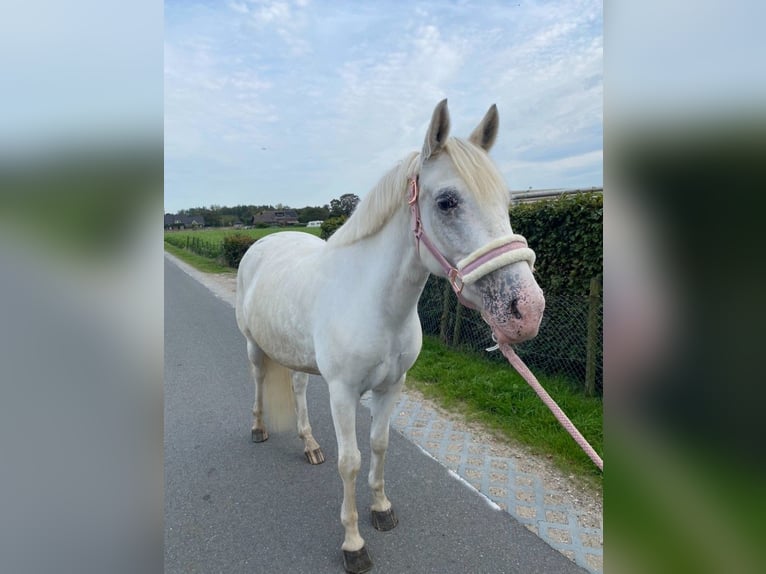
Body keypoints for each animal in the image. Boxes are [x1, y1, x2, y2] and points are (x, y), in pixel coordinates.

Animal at [234, 101, 544, 572]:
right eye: (447, 201)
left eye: (506, 202)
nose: (526, 309)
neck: (375, 304)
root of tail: (262, 243)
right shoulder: (343, 392)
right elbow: (350, 462)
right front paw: (353, 544)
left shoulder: (392, 386)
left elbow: (378, 446)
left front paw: (381, 510)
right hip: (254, 348)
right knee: (256, 381)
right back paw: (258, 429)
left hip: (297, 356)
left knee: (298, 387)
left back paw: (310, 445)